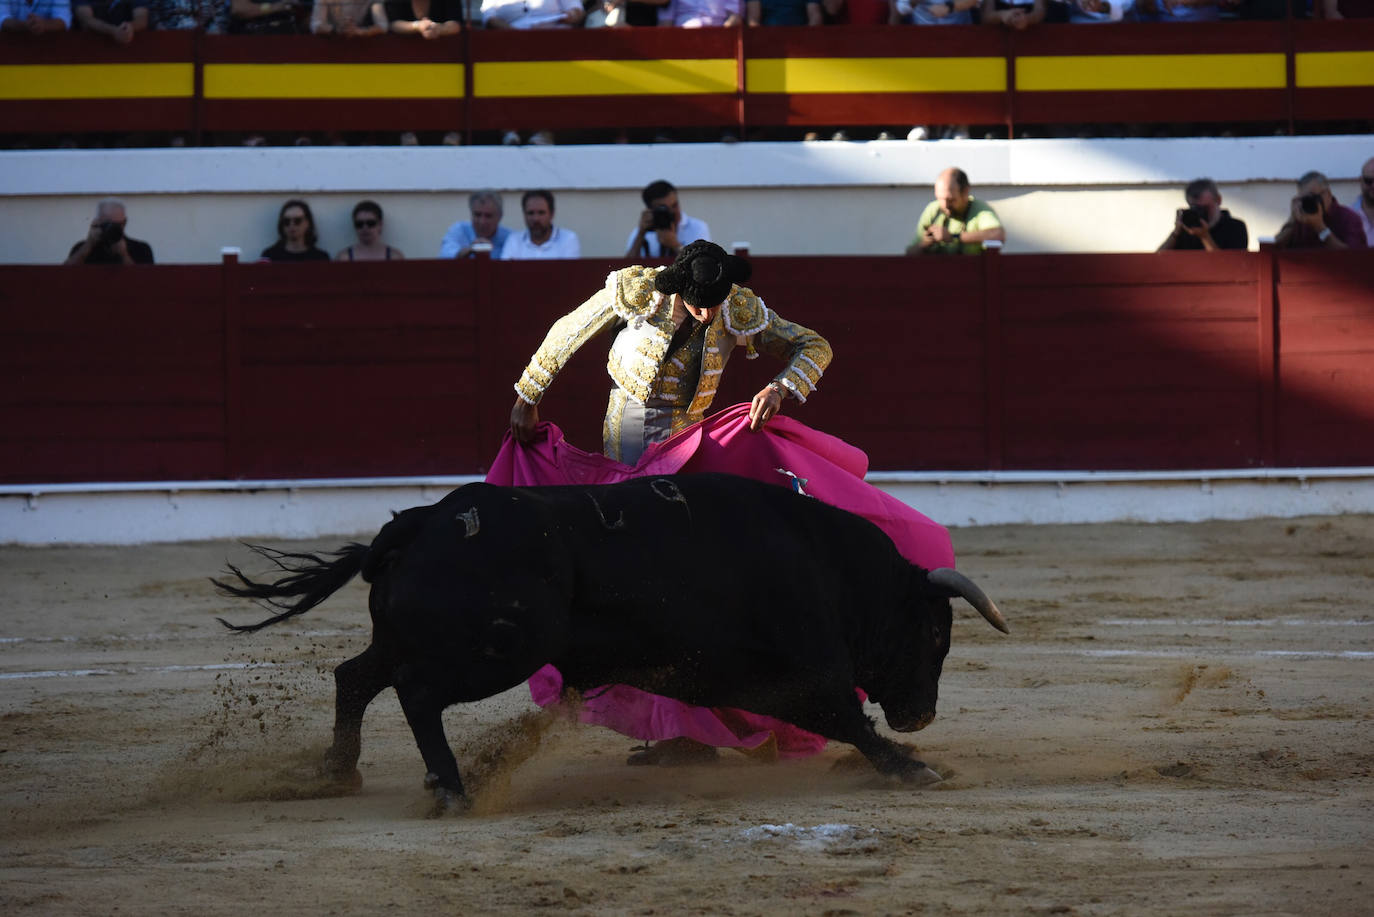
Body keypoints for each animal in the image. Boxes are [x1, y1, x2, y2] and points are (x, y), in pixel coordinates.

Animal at [217, 478, 1011, 808]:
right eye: (935, 631)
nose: (921, 714)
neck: (829, 564)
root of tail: (419, 522)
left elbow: (840, 720)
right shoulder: (803, 669)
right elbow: (848, 717)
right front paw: (910, 767)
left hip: (415, 640)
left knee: (355, 676)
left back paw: (337, 773)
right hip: (492, 651)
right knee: (415, 694)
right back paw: (451, 788)